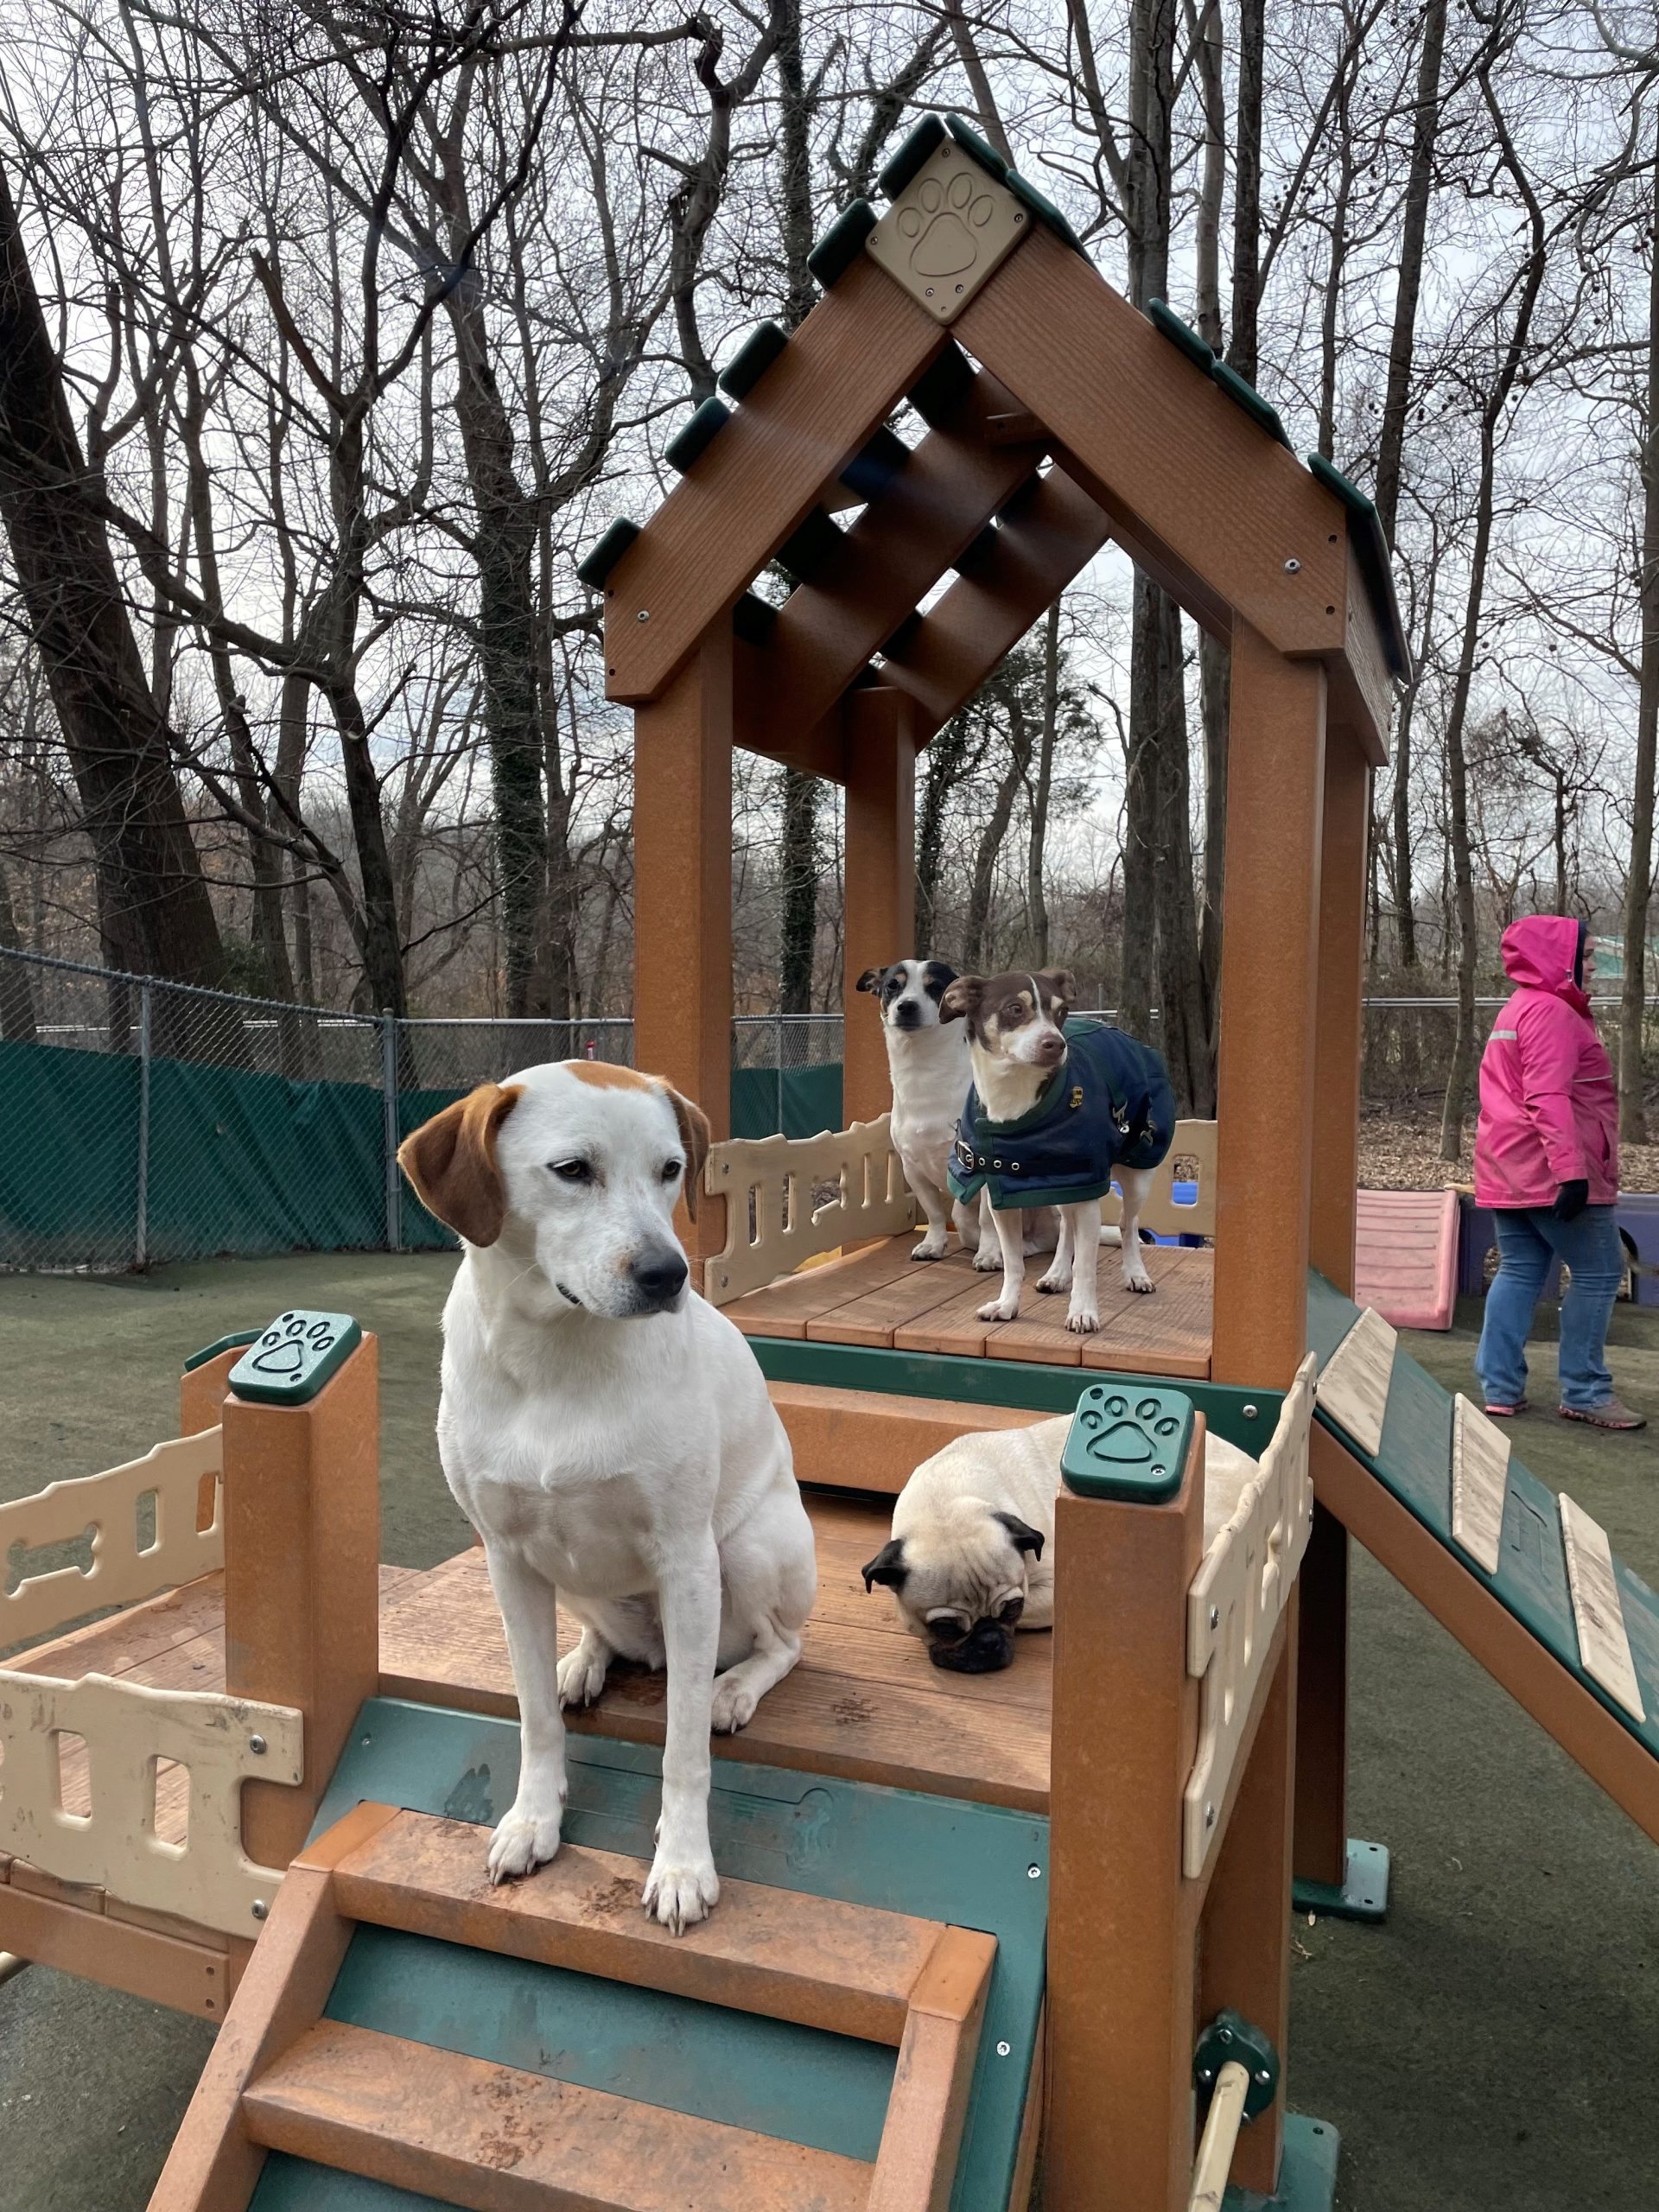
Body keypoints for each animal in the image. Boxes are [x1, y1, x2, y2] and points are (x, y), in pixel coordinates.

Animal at [402, 1061, 818, 1929]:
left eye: (670, 1170)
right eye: (571, 1170)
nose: (667, 1275)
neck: (558, 1357)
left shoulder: (688, 1563)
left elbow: (683, 1750)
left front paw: (684, 1864)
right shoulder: (506, 1560)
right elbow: (533, 1720)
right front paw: (533, 1820)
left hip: (747, 1551)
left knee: (779, 1646)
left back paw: (734, 1688)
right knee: (602, 1637)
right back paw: (585, 1661)